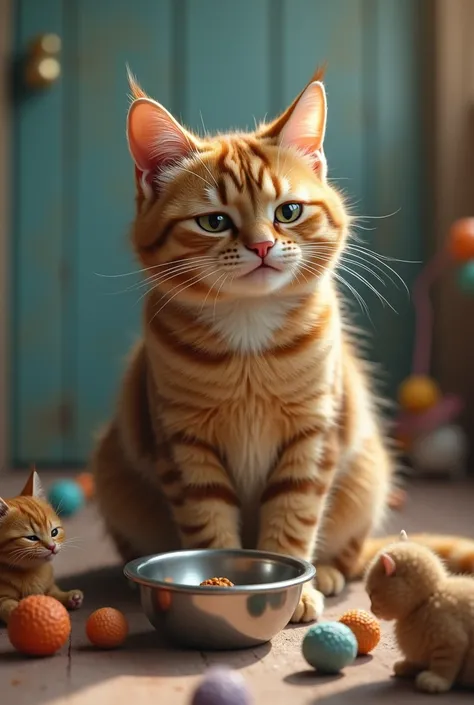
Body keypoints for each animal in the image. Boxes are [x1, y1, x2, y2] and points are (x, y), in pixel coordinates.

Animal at [0, 470, 83, 624]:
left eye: (54, 532)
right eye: (32, 538)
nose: (52, 546)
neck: (30, 571)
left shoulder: (48, 585)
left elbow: (52, 592)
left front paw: (68, 596)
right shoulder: (1, 598)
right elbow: (7, 605)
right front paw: (18, 611)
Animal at [90, 67, 474, 620]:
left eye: (288, 212)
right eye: (214, 221)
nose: (262, 245)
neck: (249, 329)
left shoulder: (312, 436)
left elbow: (293, 519)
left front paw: (297, 588)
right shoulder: (186, 446)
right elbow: (209, 525)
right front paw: (221, 583)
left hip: (367, 473)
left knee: (352, 556)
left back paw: (330, 572)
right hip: (113, 475)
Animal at [366, 532, 474, 692]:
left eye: (371, 595)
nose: (371, 609)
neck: (426, 601)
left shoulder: (451, 640)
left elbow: (445, 664)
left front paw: (435, 679)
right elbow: (418, 660)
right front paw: (407, 666)